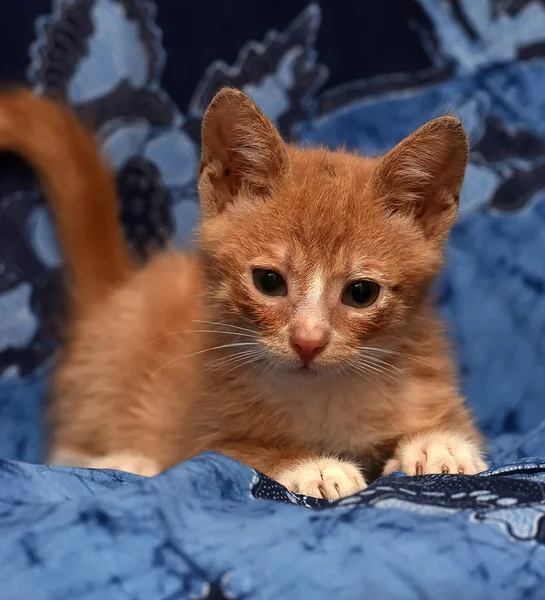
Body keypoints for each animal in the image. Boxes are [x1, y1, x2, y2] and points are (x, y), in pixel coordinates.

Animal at [0, 86, 484, 500]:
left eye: (361, 293)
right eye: (269, 282)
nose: (308, 342)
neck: (325, 393)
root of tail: (124, 285)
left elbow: (449, 424)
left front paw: (439, 444)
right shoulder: (201, 431)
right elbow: (243, 450)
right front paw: (314, 466)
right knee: (67, 448)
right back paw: (128, 462)